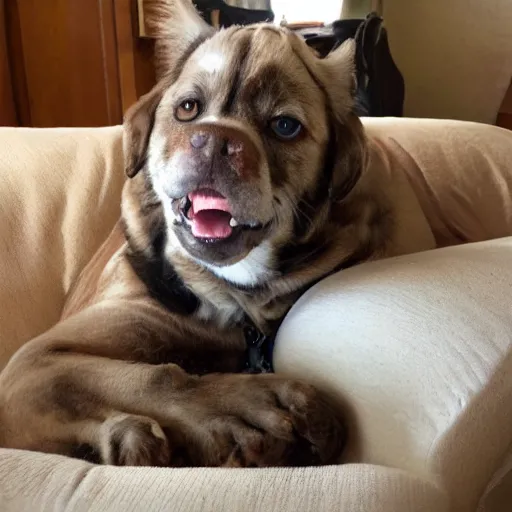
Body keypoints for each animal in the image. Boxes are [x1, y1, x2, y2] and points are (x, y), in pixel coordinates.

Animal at [0, 0, 404, 468]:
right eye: (188, 108)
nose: (214, 141)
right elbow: (159, 377)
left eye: (285, 126)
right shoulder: (33, 363)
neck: (231, 297)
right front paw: (247, 409)